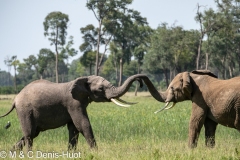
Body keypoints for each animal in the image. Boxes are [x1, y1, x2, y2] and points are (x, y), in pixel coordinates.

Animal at [0, 74, 146, 151]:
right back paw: (29, 154)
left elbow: (74, 129)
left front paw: (71, 153)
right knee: (30, 134)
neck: (84, 78)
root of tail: (15, 99)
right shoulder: (73, 103)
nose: (140, 82)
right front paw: (96, 152)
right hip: (25, 110)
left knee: (32, 133)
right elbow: (83, 125)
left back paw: (12, 153)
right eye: (100, 88)